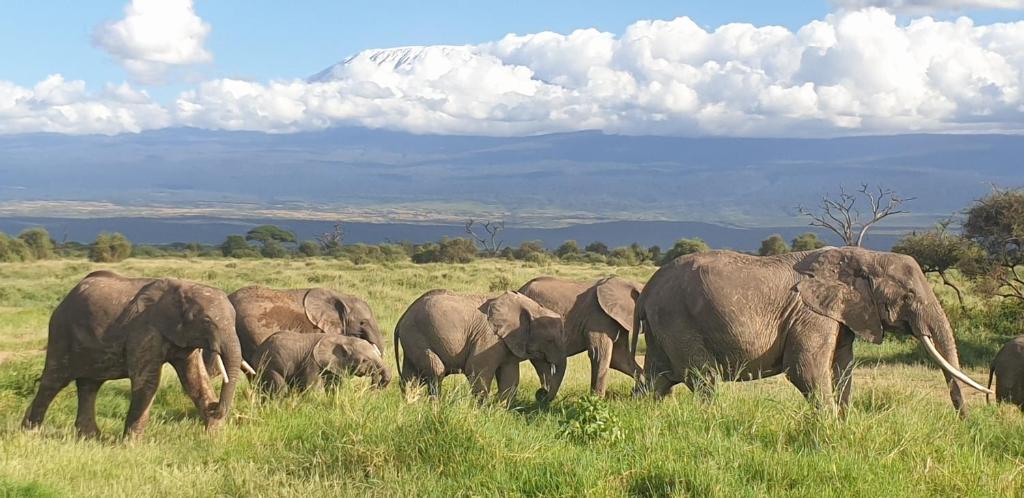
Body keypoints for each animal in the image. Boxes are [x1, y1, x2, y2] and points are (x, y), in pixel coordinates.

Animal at [22, 271, 242, 438]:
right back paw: (30, 433)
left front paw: (214, 436)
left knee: (89, 385)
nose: (214, 406)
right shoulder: (144, 330)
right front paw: (131, 444)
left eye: (234, 320)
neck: (184, 287)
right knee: (53, 381)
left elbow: (195, 380)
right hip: (61, 332)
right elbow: (148, 382)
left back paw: (91, 437)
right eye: (207, 321)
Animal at [252, 332, 392, 393]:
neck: (344, 339)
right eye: (364, 360)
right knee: (280, 388)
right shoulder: (311, 362)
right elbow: (312, 387)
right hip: (268, 366)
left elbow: (334, 385)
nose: (376, 388)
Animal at [394, 290, 566, 404]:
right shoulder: (489, 338)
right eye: (550, 340)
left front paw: (500, 412)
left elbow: (510, 378)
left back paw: (410, 405)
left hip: (411, 339)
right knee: (436, 371)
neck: (528, 306)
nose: (541, 393)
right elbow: (477, 371)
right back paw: (434, 407)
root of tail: (403, 316)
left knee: (410, 376)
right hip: (416, 334)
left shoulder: (507, 344)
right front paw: (480, 411)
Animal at [632, 247, 992, 417]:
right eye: (909, 295)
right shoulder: (811, 313)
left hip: (664, 329)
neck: (862, 255)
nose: (965, 422)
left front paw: (844, 425)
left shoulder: (842, 315)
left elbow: (843, 369)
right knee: (702, 379)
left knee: (655, 380)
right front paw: (831, 429)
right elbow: (805, 370)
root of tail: (646, 292)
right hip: (678, 320)